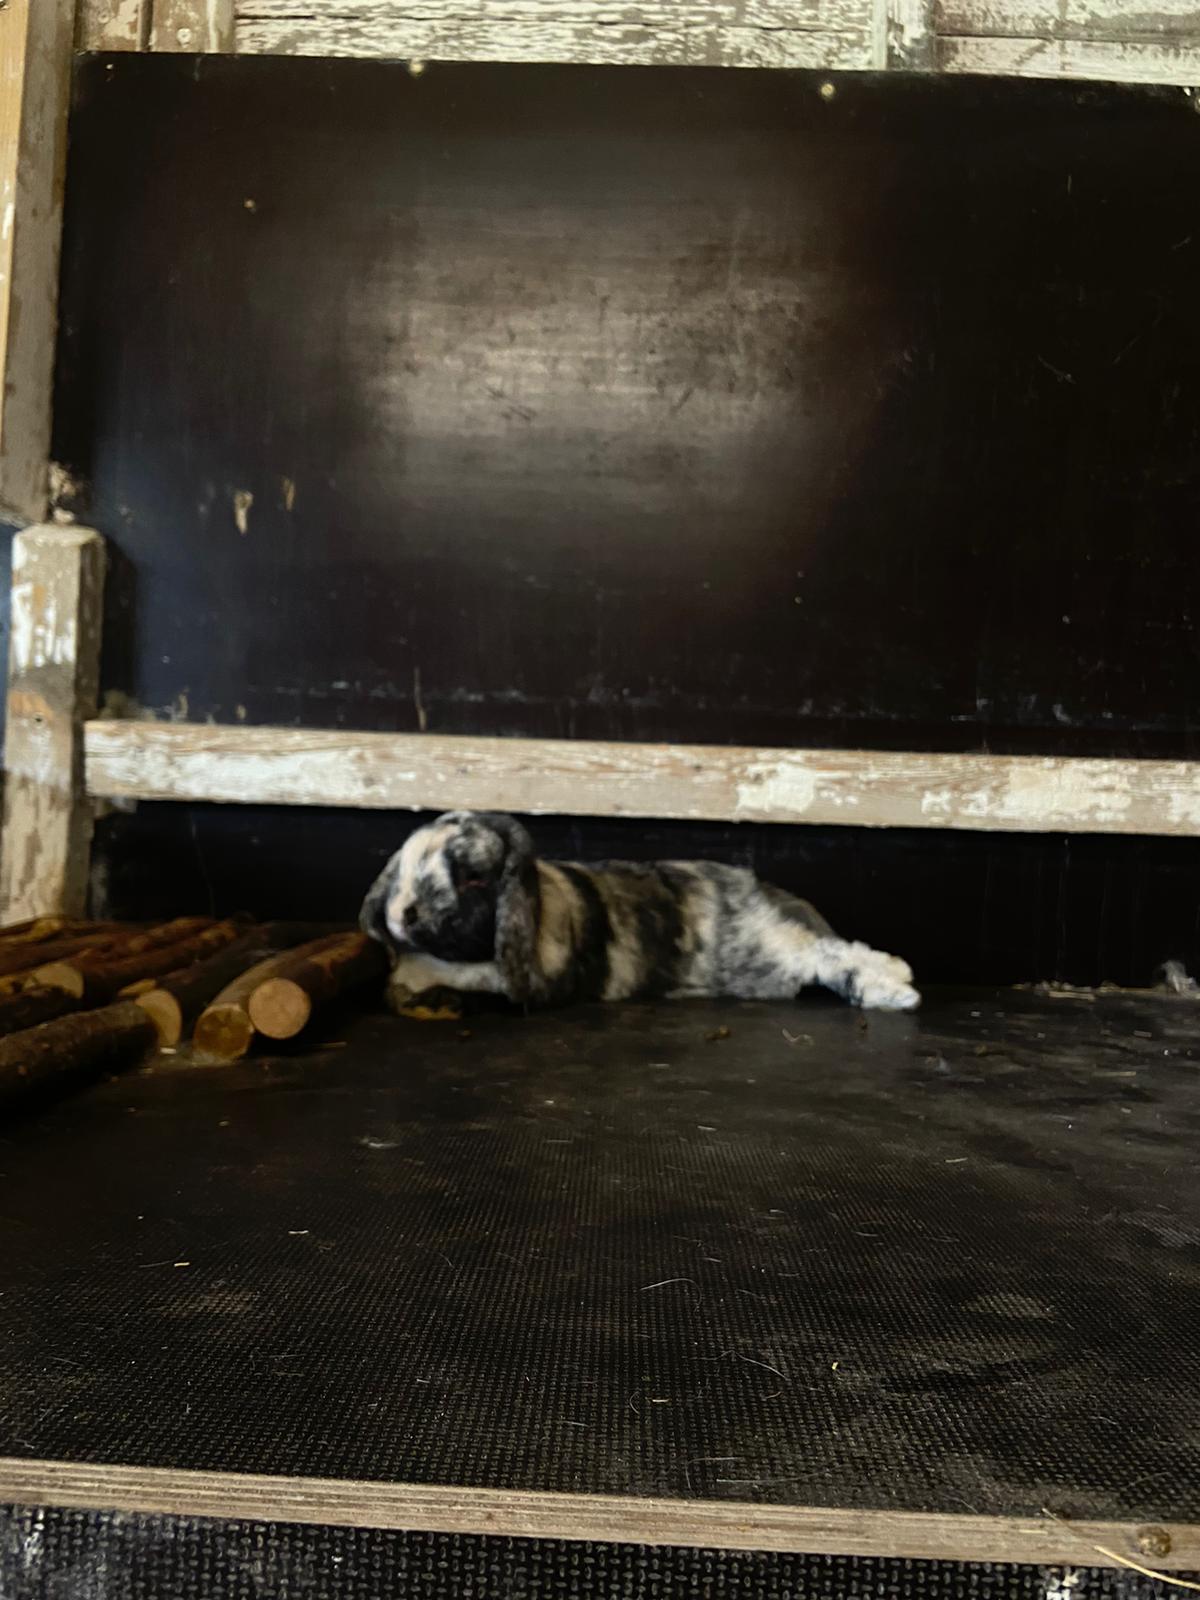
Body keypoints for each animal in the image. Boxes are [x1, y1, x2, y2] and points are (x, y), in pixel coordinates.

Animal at [360, 810, 919, 1014]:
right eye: (405, 865)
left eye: (473, 876)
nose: (404, 914)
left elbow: (466, 969)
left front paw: (409, 973)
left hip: (782, 950)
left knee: (833, 955)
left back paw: (897, 988)